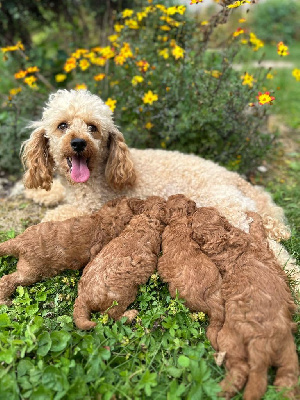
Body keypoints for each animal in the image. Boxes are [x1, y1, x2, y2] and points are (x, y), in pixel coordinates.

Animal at [20, 90, 298, 284]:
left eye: (93, 128)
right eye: (62, 125)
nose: (78, 143)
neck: (101, 169)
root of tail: (238, 180)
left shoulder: (92, 207)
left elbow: (56, 214)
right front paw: (38, 191)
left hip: (227, 210)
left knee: (275, 252)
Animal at [191, 209, 298, 400]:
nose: (196, 208)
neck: (223, 239)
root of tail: (261, 346)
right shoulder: (257, 242)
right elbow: (257, 229)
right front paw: (251, 214)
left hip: (251, 344)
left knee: (257, 372)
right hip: (274, 348)